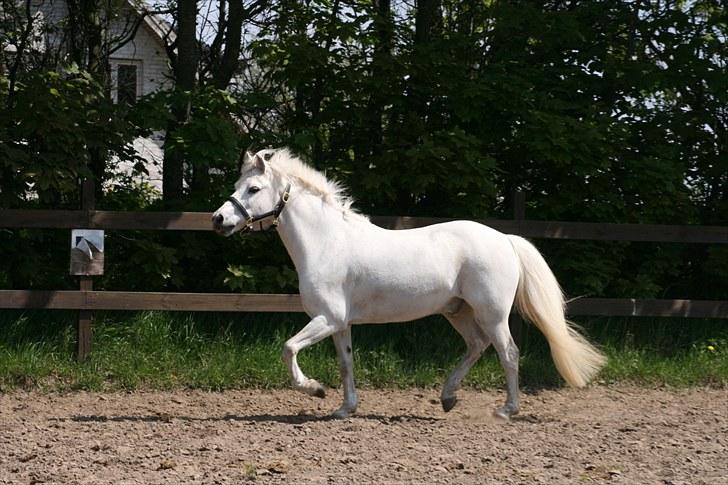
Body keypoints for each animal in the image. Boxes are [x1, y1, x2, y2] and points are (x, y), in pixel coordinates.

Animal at [213, 148, 604, 420]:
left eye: (254, 188)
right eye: (236, 187)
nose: (219, 220)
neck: (327, 242)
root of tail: (505, 239)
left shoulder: (327, 319)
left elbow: (288, 348)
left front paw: (315, 390)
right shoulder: (340, 323)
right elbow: (346, 363)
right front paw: (345, 408)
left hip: (492, 314)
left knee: (507, 353)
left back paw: (506, 410)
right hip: (457, 312)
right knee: (476, 346)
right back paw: (448, 398)